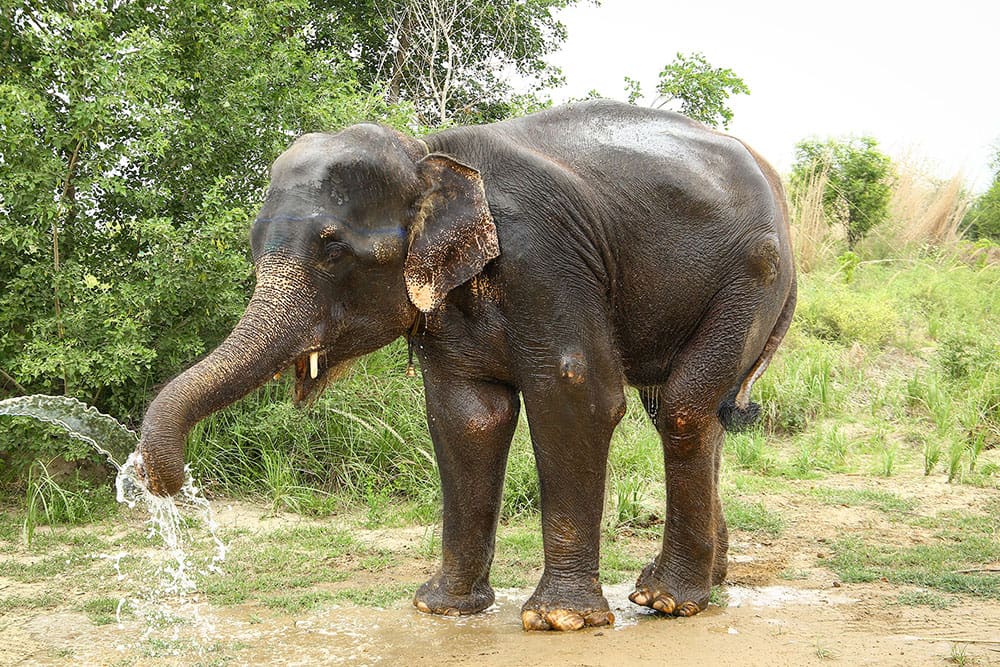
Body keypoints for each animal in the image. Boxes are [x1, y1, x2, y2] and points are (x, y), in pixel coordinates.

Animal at [135, 99, 796, 631]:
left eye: (332, 248)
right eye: (252, 245)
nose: (163, 483)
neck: (426, 155)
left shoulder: (545, 256)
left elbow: (575, 394)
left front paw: (558, 621)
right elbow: (467, 417)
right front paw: (439, 607)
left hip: (751, 278)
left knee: (683, 407)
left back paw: (667, 601)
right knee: (684, 410)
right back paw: (698, 586)